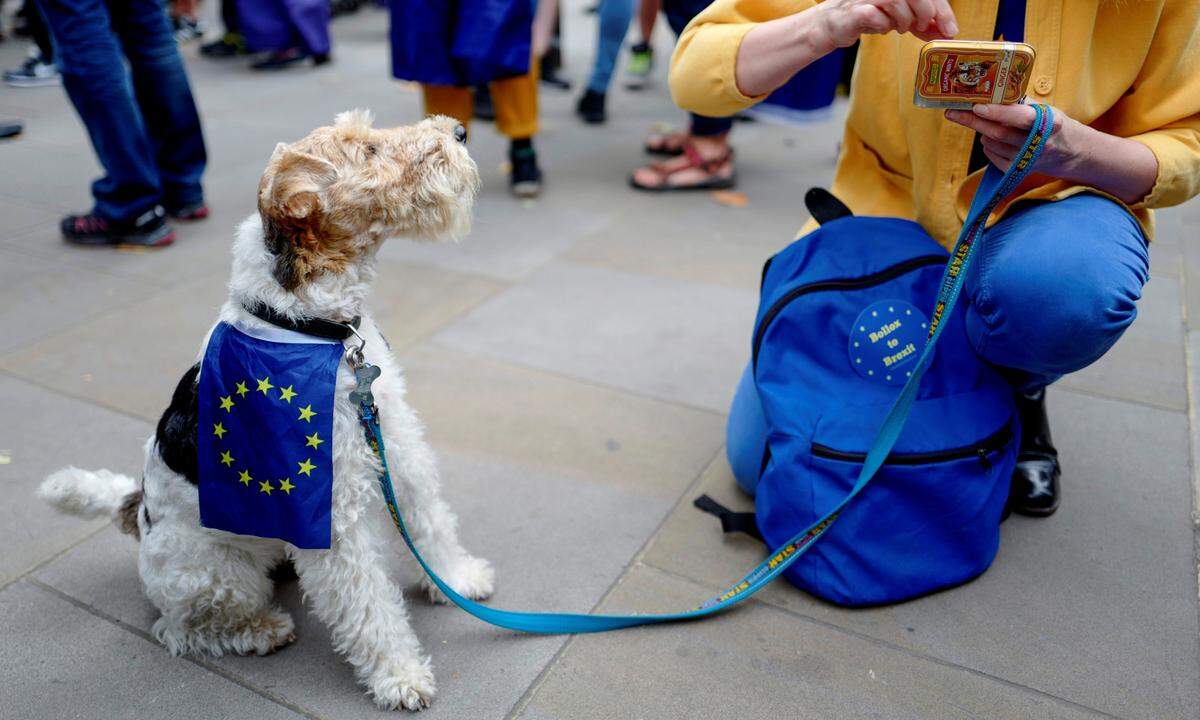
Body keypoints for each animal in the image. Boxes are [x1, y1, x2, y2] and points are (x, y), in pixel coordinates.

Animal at [38, 109, 492, 710]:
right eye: (368, 150)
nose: (460, 130)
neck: (313, 328)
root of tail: (135, 510)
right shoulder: (329, 513)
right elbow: (371, 606)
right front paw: (401, 677)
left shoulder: (396, 443)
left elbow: (429, 520)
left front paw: (458, 579)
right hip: (219, 574)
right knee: (181, 630)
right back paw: (263, 629)